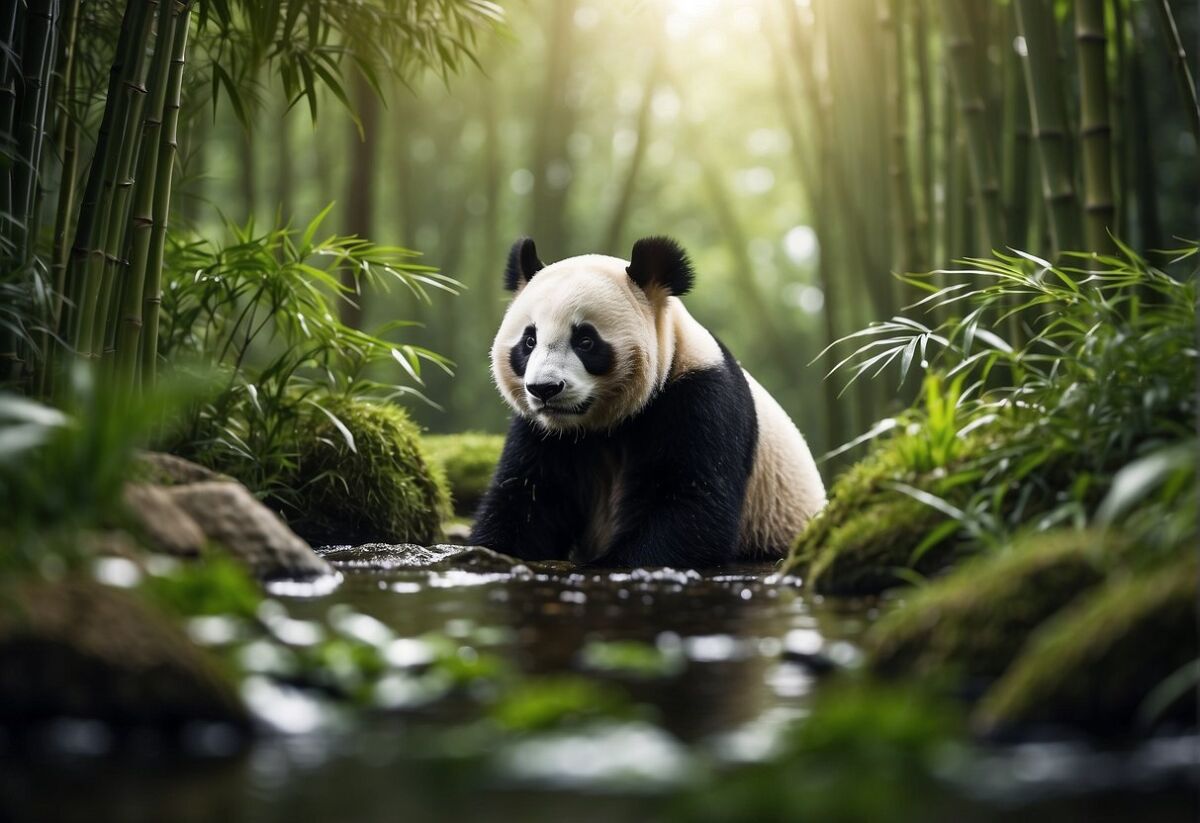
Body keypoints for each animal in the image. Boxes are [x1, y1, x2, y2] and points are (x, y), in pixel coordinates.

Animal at [469, 235, 826, 568]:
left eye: (585, 341)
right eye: (529, 341)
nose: (544, 389)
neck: (605, 425)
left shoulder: (700, 397)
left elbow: (690, 505)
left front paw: (606, 565)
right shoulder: (542, 433)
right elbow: (530, 497)